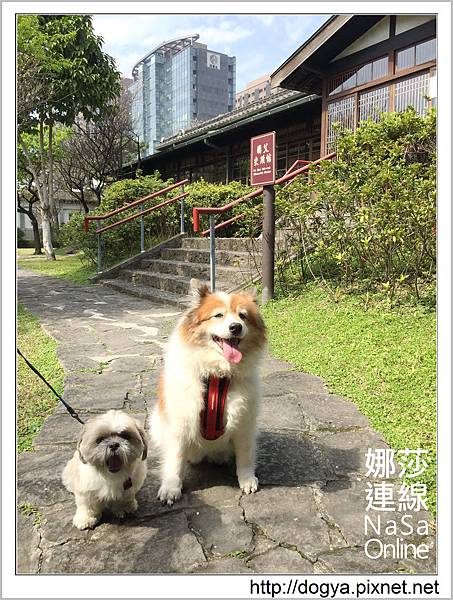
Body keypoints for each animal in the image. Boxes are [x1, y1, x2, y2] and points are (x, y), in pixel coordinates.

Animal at [150, 278, 266, 504]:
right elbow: (175, 459)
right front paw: (171, 488)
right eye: (218, 315)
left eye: (243, 316)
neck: (217, 375)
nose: (236, 327)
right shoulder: (180, 422)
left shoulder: (245, 423)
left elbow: (245, 456)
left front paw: (247, 480)